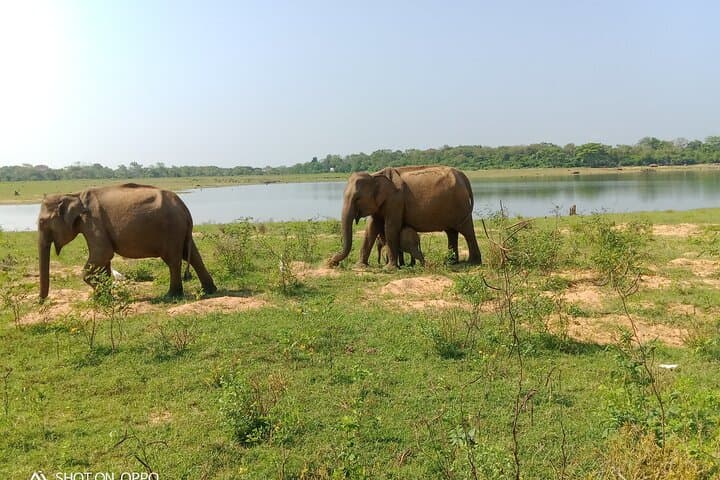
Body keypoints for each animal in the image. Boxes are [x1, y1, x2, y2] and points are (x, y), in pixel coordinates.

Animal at [38, 183, 217, 299]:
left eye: (41, 222)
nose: (41, 301)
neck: (74, 194)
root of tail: (185, 208)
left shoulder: (93, 221)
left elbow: (103, 254)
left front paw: (101, 297)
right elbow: (104, 260)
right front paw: (103, 297)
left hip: (172, 229)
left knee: (173, 260)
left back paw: (171, 296)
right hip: (180, 230)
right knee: (192, 256)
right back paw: (210, 291)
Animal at [328, 165, 481, 268]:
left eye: (357, 199)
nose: (332, 261)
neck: (375, 176)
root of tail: (463, 176)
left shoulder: (396, 201)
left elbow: (390, 227)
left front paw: (389, 268)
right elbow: (370, 229)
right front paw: (360, 267)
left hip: (461, 205)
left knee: (467, 231)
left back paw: (472, 263)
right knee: (451, 232)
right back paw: (451, 262)